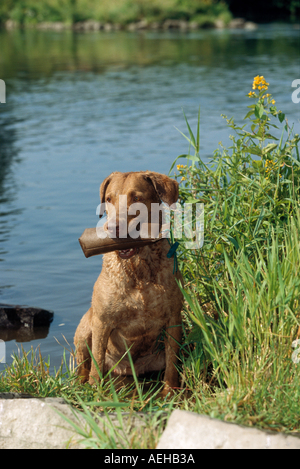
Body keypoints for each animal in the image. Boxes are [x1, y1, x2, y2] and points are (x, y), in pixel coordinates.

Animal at [74, 170, 183, 394]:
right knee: (85, 365)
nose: (113, 228)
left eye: (137, 198)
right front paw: (96, 391)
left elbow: (172, 364)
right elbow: (96, 362)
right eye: (109, 199)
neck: (138, 269)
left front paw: (169, 392)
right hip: (84, 330)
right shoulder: (102, 321)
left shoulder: (174, 317)